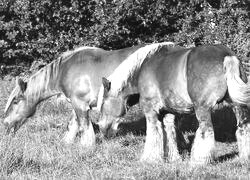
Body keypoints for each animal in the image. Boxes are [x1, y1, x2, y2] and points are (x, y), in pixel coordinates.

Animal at [1, 44, 151, 148]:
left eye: (15, 101)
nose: (5, 123)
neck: (65, 69)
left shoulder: (80, 104)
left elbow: (84, 126)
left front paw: (86, 146)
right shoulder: (75, 103)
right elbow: (73, 124)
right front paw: (66, 142)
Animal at [96, 43, 250, 165]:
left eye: (102, 103)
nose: (102, 129)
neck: (142, 69)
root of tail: (227, 56)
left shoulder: (150, 111)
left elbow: (153, 134)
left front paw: (149, 159)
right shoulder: (168, 113)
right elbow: (169, 134)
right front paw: (172, 158)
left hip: (203, 108)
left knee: (206, 132)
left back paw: (199, 162)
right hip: (238, 106)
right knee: (243, 129)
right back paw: (244, 159)